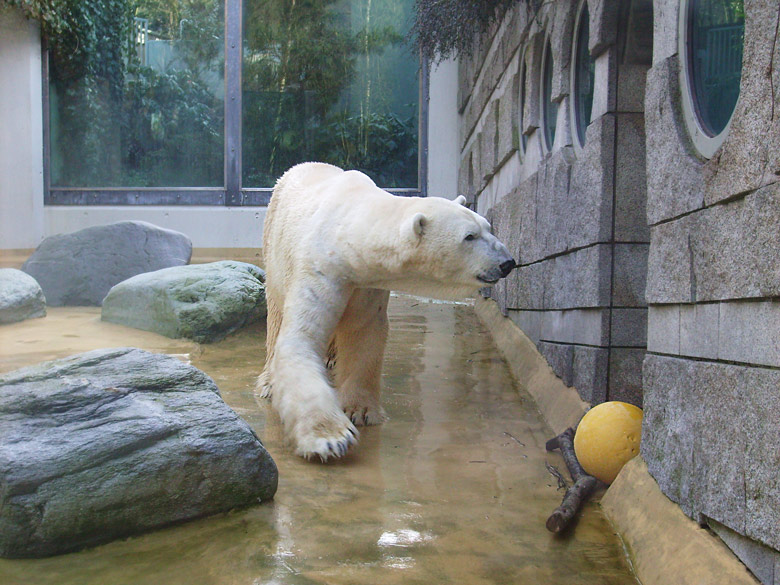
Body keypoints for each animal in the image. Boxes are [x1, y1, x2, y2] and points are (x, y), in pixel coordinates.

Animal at [258, 162, 516, 458]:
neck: (348, 226)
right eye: (469, 236)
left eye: (488, 226)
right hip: (274, 248)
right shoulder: (320, 266)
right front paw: (331, 438)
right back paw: (269, 382)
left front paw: (360, 411)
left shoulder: (366, 284)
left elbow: (364, 335)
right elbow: (300, 338)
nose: (508, 262)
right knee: (275, 314)